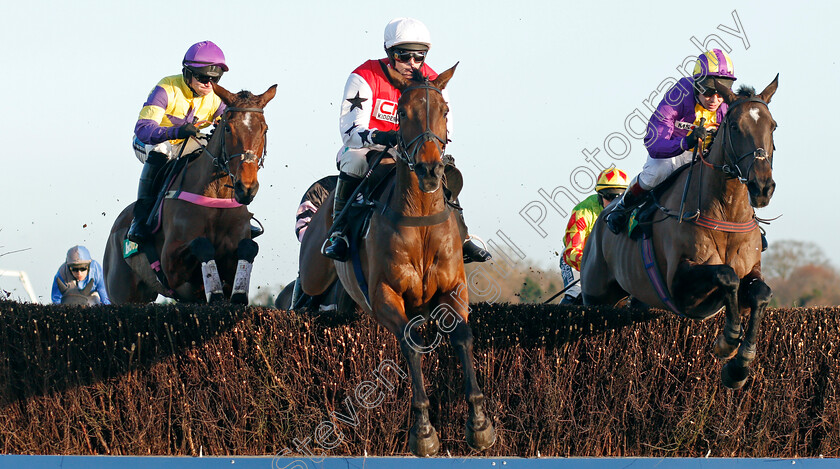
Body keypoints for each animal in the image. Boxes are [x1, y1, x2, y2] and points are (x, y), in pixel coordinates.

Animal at [104, 83, 278, 304]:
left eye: (264, 129)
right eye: (228, 128)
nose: (246, 187)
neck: (216, 199)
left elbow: (248, 247)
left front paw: (238, 294)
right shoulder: (170, 264)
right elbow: (202, 244)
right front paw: (215, 292)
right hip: (124, 294)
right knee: (158, 152)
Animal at [296, 64, 496, 456]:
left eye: (444, 110)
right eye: (402, 112)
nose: (431, 169)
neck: (420, 219)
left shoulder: (453, 291)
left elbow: (463, 336)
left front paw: (480, 423)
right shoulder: (385, 296)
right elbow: (410, 341)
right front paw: (424, 431)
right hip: (313, 266)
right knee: (305, 285)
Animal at [580, 75, 776, 390]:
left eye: (773, 126)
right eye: (735, 126)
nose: (762, 187)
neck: (726, 213)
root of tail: (599, 222)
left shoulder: (751, 272)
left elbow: (760, 292)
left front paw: (740, 366)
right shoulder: (680, 287)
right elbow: (727, 276)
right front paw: (727, 341)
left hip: (636, 297)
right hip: (596, 297)